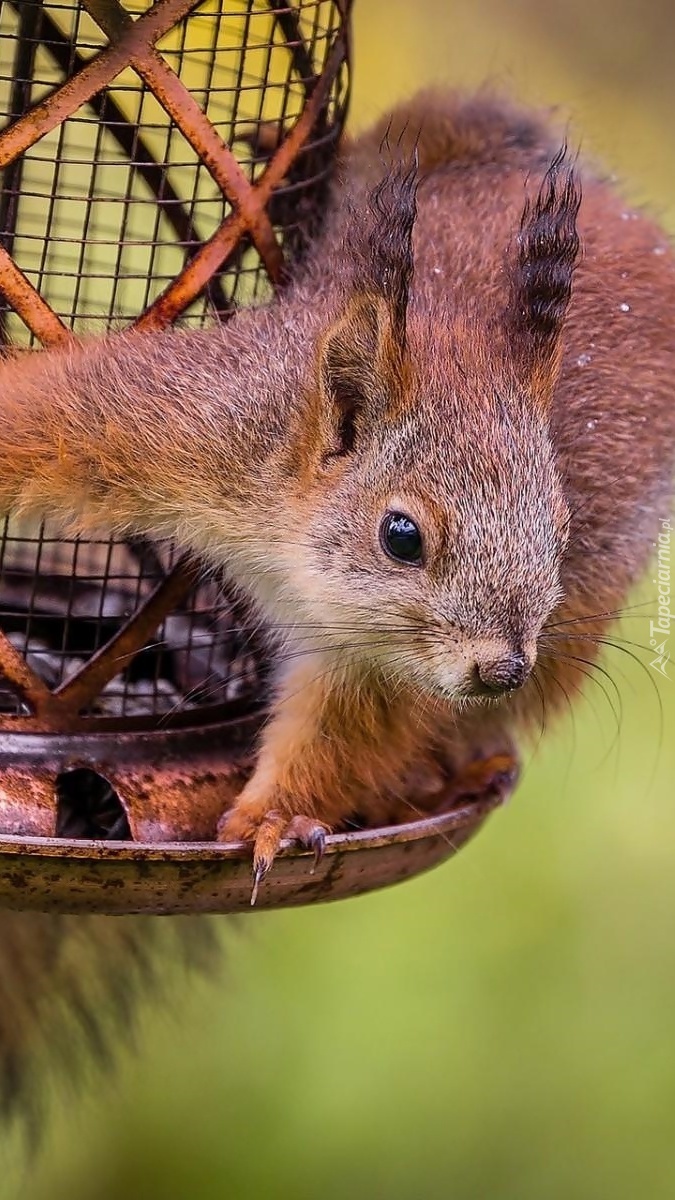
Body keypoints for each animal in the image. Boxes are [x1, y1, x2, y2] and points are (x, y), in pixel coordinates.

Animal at [1, 91, 672, 1113]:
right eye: (401, 535)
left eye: (557, 528)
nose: (499, 667)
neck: (285, 541)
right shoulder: (193, 420)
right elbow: (42, 418)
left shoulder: (368, 658)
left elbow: (341, 733)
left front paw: (279, 818)